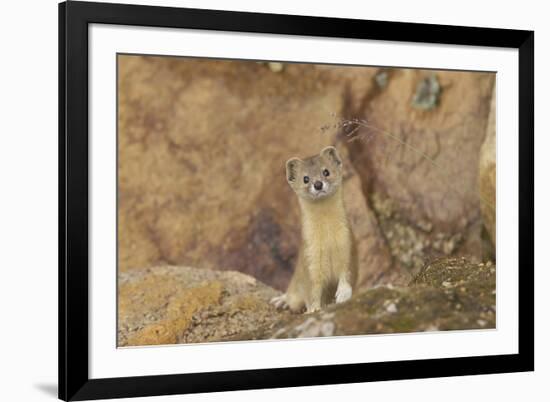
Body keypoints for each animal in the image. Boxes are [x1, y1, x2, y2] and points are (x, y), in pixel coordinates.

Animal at [270, 146, 358, 312]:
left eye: (326, 171)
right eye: (305, 178)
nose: (318, 184)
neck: (328, 240)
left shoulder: (347, 243)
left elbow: (347, 273)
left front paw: (343, 293)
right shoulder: (310, 257)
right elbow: (313, 290)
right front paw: (313, 309)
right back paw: (281, 301)